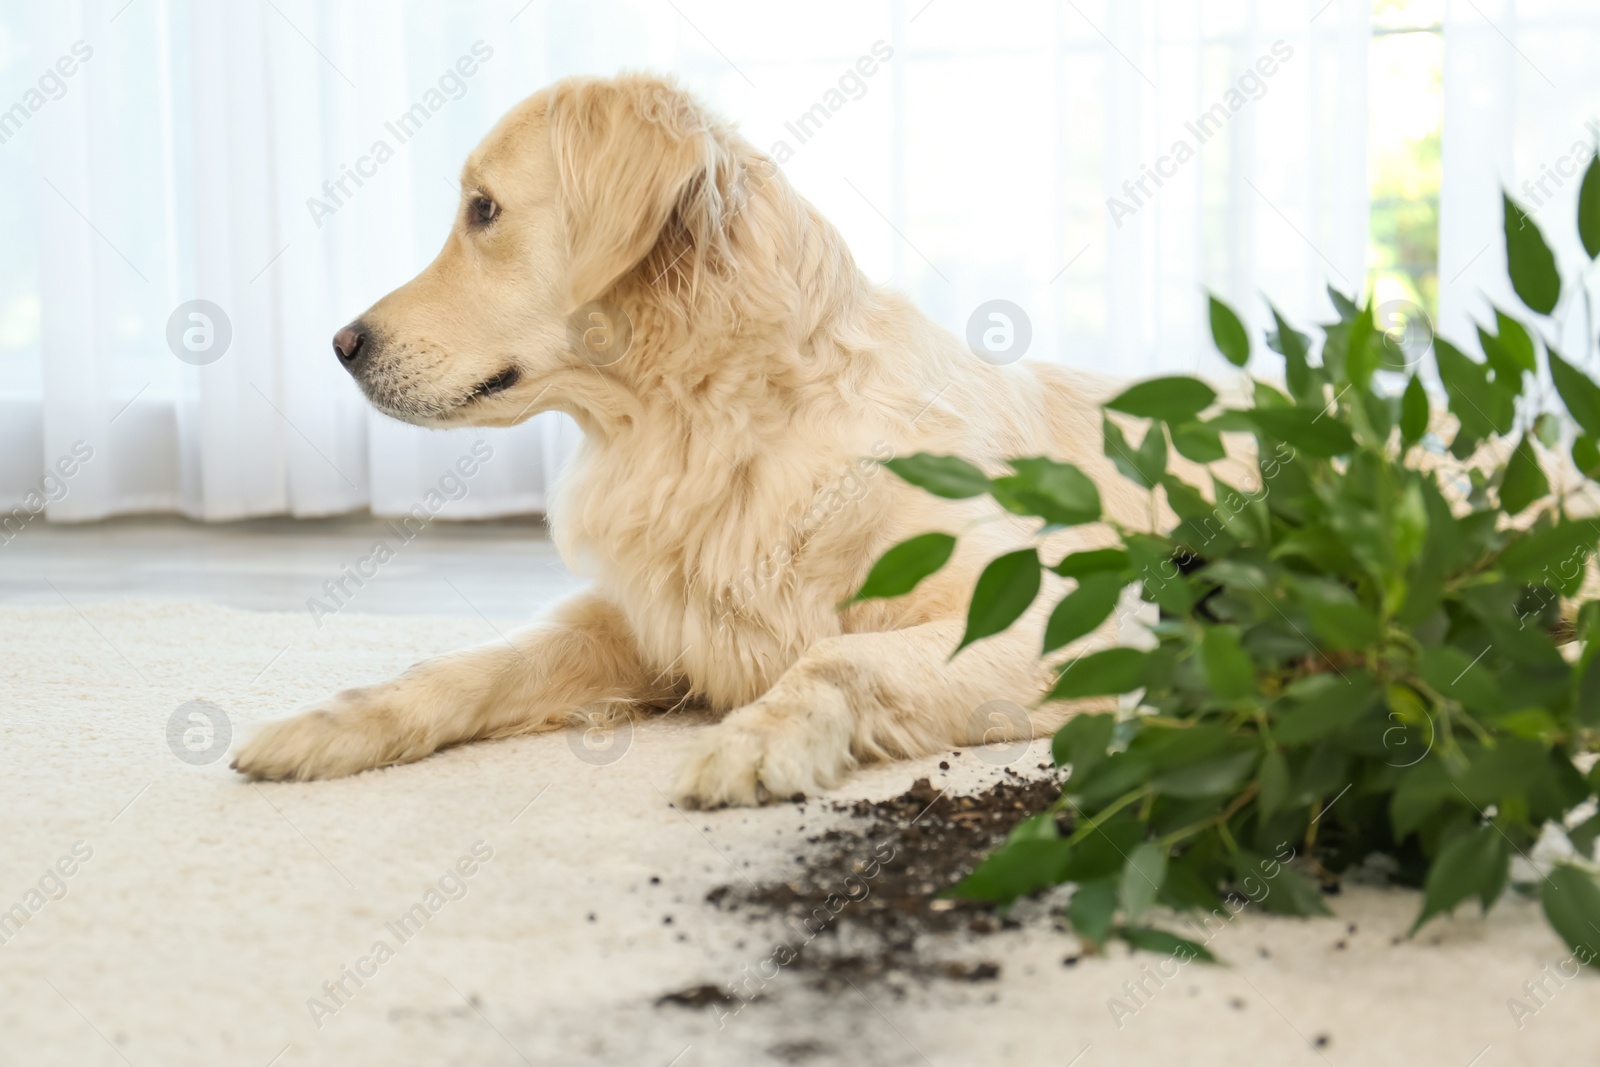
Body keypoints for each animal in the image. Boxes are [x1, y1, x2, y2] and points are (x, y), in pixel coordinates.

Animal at [232, 73, 1145, 809]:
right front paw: (329, 721)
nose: (342, 344)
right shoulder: (648, 621)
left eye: (483, 210)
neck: (709, 428)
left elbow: (835, 657)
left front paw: (753, 739)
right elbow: (472, 663)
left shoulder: (1058, 616)